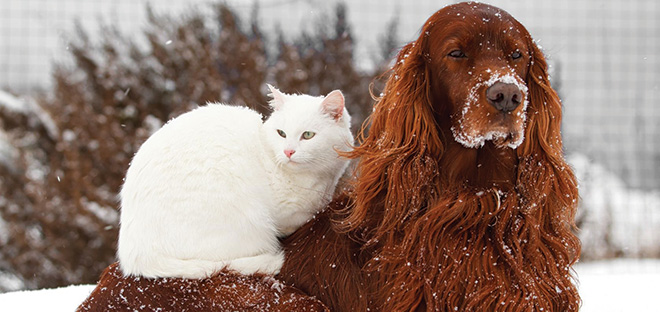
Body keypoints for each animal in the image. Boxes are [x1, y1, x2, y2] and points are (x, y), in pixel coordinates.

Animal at [118, 84, 356, 278]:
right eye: (281, 133)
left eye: (307, 135)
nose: (288, 151)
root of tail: (134, 254)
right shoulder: (288, 215)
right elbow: (306, 216)